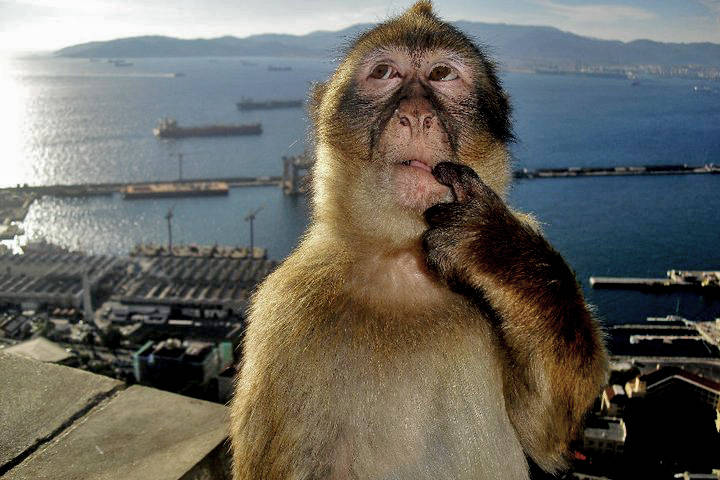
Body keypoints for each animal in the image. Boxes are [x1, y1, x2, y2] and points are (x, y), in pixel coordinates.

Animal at [230, 2, 608, 479]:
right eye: (384, 73)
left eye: (442, 74)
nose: (414, 116)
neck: (403, 261)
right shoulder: (284, 314)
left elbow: (545, 429)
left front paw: (493, 246)